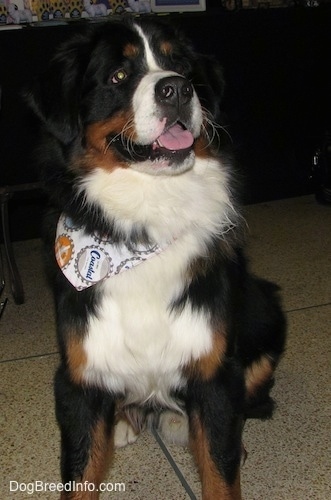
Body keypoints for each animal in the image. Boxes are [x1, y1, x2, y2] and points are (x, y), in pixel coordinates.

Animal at [26, 17, 286, 498]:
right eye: (118, 76)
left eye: (180, 66)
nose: (178, 89)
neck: (143, 226)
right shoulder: (79, 377)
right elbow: (81, 471)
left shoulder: (214, 372)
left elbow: (220, 469)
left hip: (265, 310)